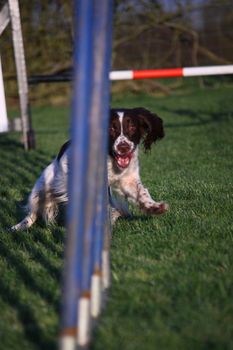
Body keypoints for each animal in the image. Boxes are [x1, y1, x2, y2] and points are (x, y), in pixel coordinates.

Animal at [10, 108, 168, 231]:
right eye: (111, 128)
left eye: (132, 128)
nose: (123, 147)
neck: (110, 159)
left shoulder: (127, 179)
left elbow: (141, 192)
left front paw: (154, 207)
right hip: (42, 188)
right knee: (32, 212)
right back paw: (18, 227)